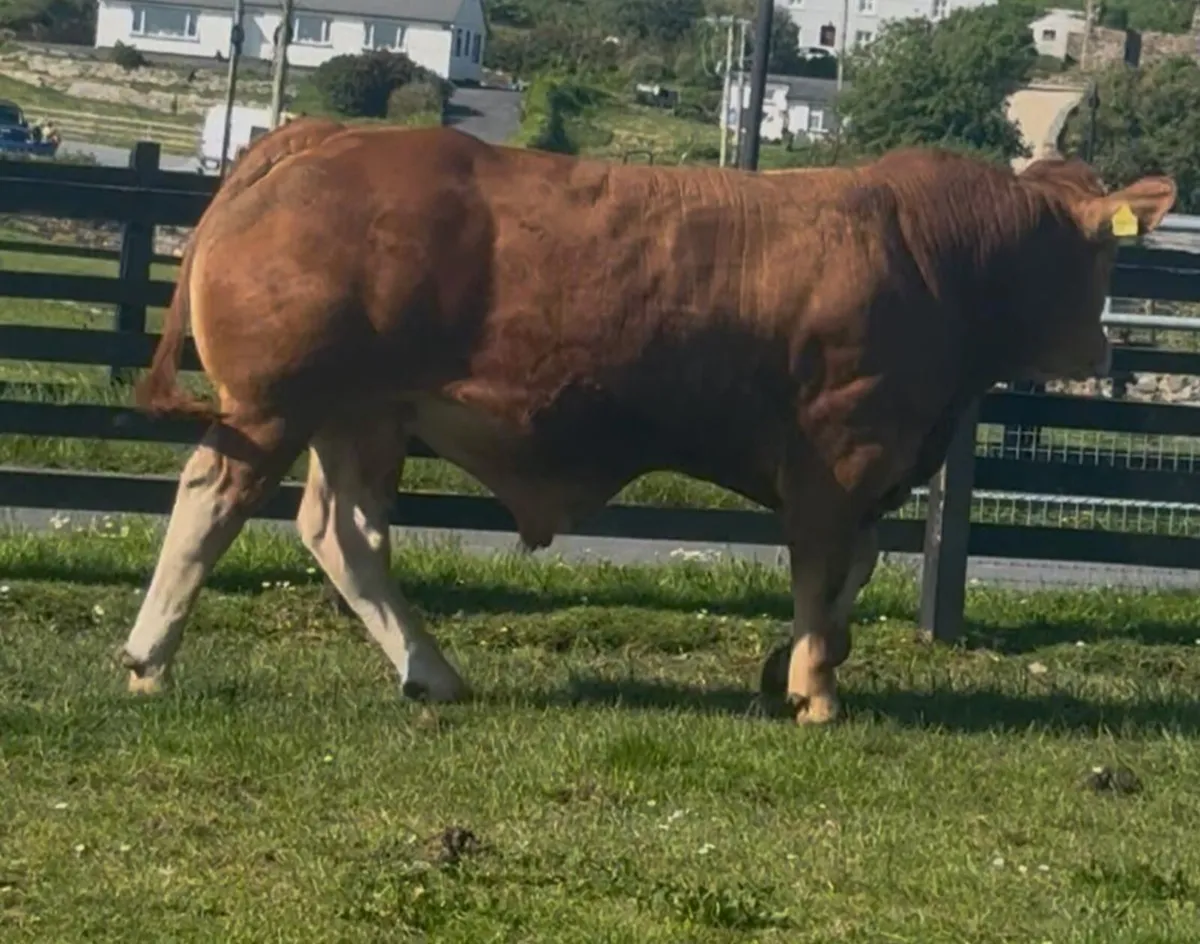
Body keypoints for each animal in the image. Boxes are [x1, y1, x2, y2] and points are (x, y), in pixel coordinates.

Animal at [119, 124, 1175, 724]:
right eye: (1102, 257)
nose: (1103, 351)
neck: (932, 253)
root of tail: (320, 136)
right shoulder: (840, 451)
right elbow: (825, 567)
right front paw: (817, 687)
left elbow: (857, 572)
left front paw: (787, 665)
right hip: (276, 405)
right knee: (211, 500)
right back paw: (148, 661)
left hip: (363, 414)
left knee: (343, 532)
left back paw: (432, 673)